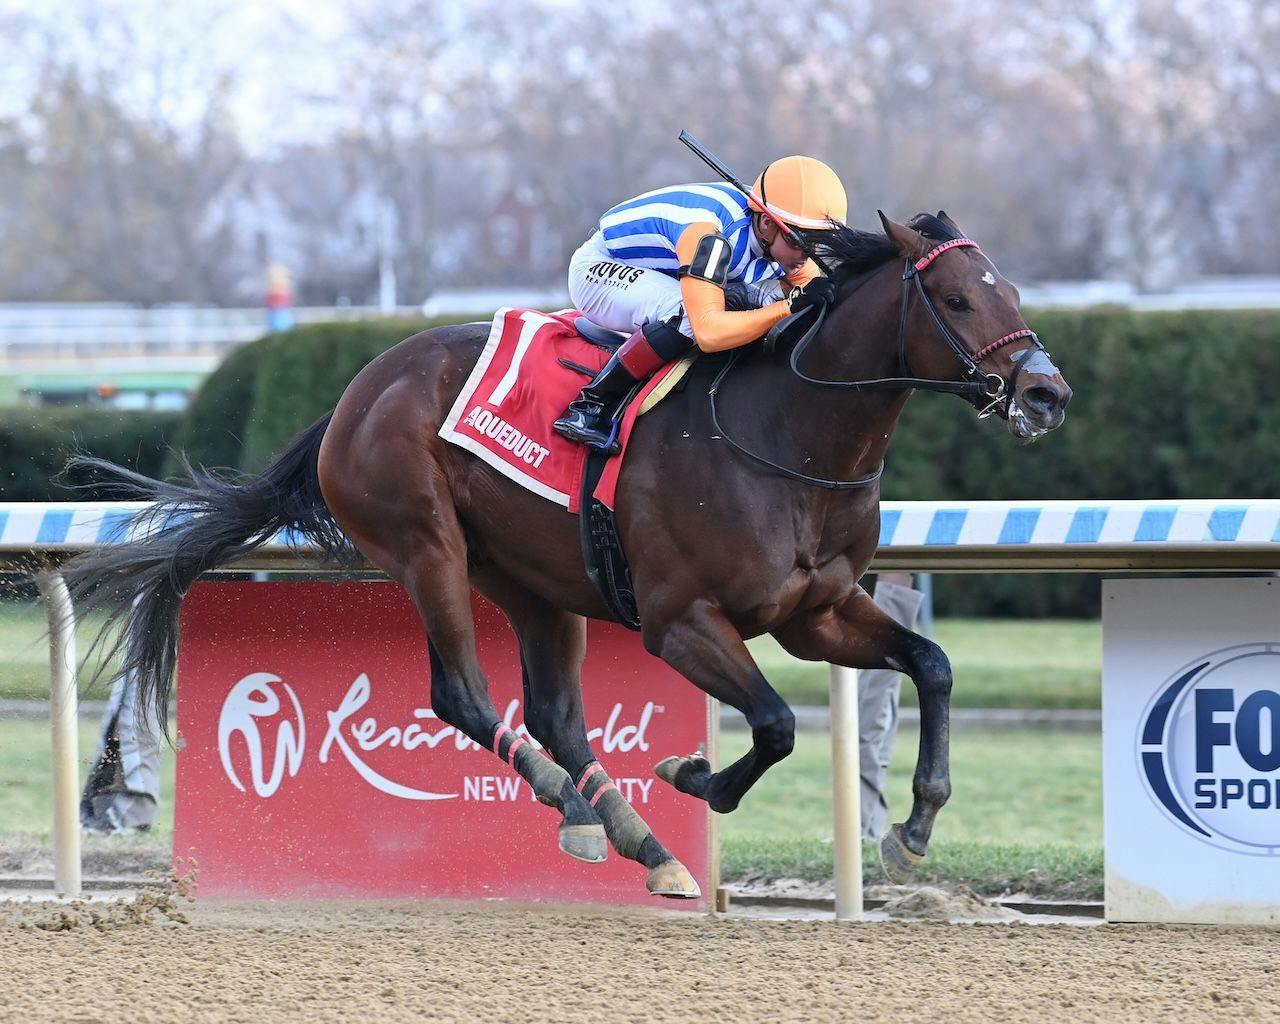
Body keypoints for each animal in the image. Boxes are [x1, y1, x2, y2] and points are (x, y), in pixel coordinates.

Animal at [67, 213, 1070, 896]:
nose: (1047, 393)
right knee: (466, 697)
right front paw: (694, 776)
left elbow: (932, 664)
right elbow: (778, 723)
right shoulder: (681, 622)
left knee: (553, 711)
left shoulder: (816, 613)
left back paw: (633, 837)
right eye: (956, 297)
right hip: (428, 547)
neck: (785, 435)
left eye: (1014, 293)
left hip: (536, 581)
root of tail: (358, 390)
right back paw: (584, 805)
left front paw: (916, 823)